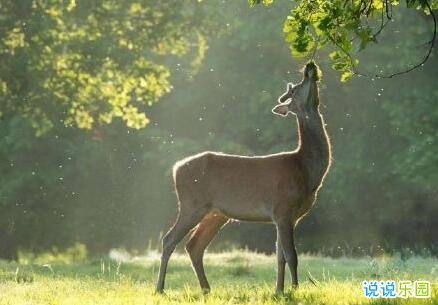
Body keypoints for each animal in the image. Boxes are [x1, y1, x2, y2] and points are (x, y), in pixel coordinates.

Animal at [156, 61, 330, 292]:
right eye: (295, 88)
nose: (310, 66)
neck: (306, 170)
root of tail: (175, 169)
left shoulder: (284, 217)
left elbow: (280, 257)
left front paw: (279, 290)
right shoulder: (283, 208)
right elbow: (292, 256)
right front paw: (294, 289)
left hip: (216, 213)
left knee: (194, 246)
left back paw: (206, 289)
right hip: (191, 204)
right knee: (169, 239)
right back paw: (160, 288)